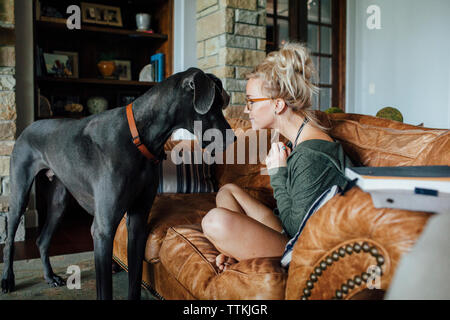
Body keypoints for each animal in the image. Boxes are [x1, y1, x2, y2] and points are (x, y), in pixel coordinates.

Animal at [0, 67, 236, 300]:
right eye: (214, 105)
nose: (234, 139)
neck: (139, 137)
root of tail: (28, 128)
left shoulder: (138, 220)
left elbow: (134, 281)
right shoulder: (103, 231)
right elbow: (105, 290)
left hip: (59, 201)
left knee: (42, 239)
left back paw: (50, 277)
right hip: (20, 193)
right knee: (10, 237)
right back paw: (7, 280)